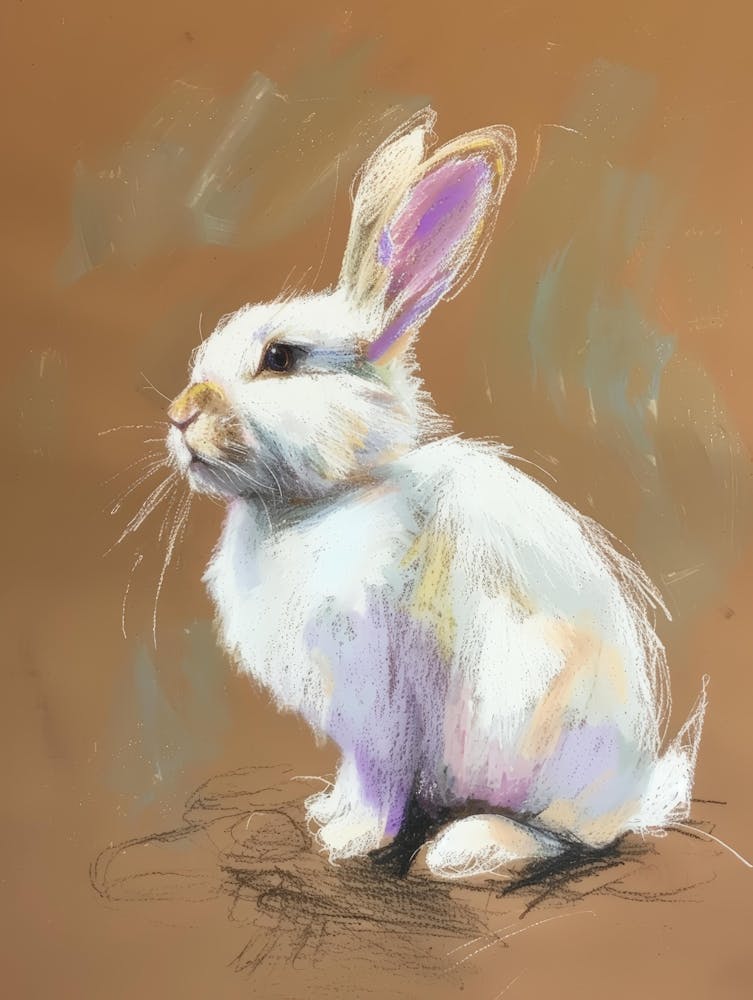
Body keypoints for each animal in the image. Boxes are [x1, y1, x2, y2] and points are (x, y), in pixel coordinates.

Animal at [165, 108, 707, 880]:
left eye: (281, 358)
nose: (180, 414)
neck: (314, 505)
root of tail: (632, 800)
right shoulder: (352, 722)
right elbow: (351, 775)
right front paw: (326, 813)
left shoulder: (379, 700)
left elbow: (379, 778)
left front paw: (349, 841)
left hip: (528, 726)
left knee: (567, 839)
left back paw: (467, 847)